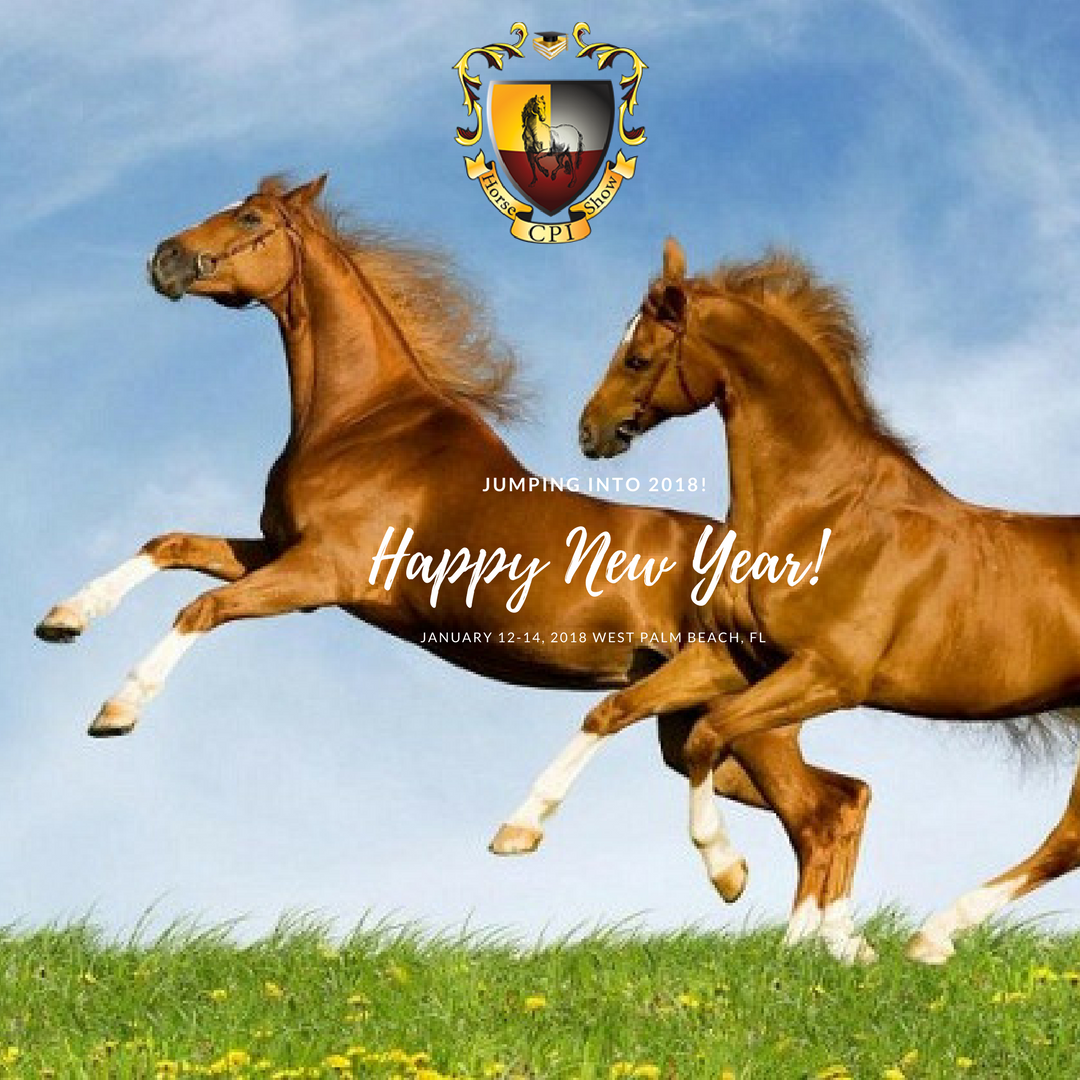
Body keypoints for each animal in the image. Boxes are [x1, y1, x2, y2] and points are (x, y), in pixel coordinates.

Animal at [33, 178, 871, 955]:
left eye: (249, 218)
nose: (164, 258)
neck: (363, 423)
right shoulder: (275, 551)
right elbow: (168, 545)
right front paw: (63, 619)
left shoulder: (319, 576)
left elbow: (199, 610)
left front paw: (116, 711)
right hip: (698, 726)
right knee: (843, 798)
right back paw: (837, 944)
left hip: (742, 722)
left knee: (820, 815)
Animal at [556, 235, 1080, 963]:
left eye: (637, 356)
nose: (591, 431)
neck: (819, 513)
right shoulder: (738, 659)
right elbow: (630, 715)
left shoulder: (829, 675)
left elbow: (711, 739)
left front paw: (728, 873)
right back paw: (928, 936)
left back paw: (929, 936)